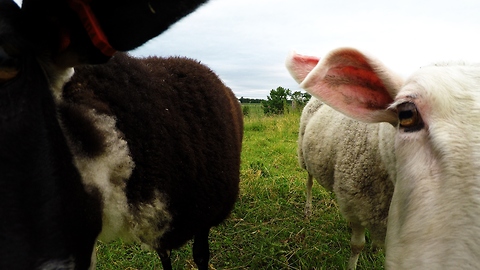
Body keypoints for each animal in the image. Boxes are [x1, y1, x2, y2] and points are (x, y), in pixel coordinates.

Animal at [286, 46, 480, 268]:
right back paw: (308, 210)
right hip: (303, 154)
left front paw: (375, 248)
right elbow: (357, 245)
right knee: (309, 181)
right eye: (406, 114)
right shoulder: (356, 206)